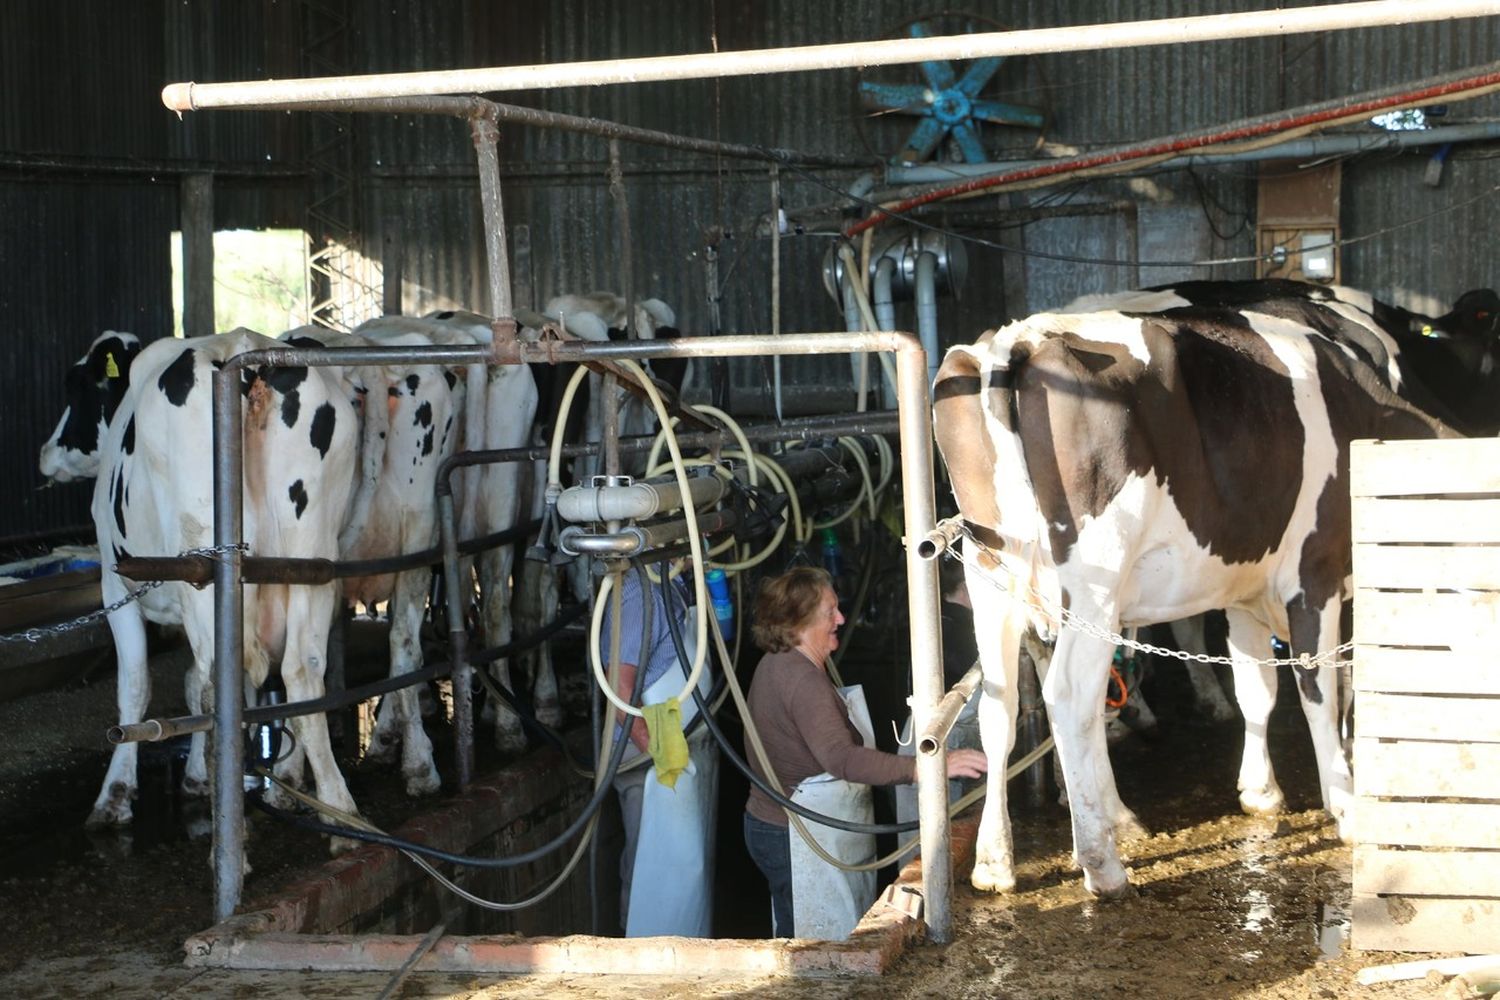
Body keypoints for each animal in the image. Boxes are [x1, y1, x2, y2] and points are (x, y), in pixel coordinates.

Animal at [41, 328, 360, 827]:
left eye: (76, 387)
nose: (46, 453)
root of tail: (242, 350)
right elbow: (192, 684)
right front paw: (194, 776)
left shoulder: (116, 584)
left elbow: (136, 686)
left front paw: (115, 794)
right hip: (314, 556)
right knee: (301, 669)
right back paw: (331, 802)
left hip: (205, 560)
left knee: (218, 679)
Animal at [930, 296, 1458, 899]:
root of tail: (1016, 341)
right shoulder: (1315, 574)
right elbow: (1320, 688)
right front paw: (1346, 805)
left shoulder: (1244, 592)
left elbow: (1258, 690)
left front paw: (1260, 792)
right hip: (1094, 579)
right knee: (1069, 697)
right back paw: (1102, 864)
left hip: (992, 579)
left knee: (1000, 708)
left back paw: (999, 861)